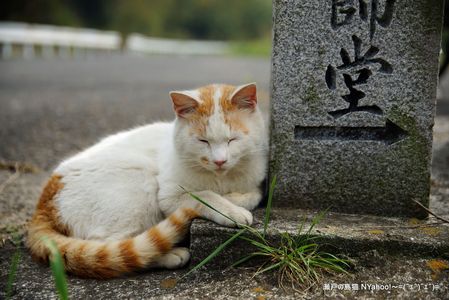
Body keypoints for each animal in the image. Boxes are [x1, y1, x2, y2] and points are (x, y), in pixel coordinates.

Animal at [26, 82, 268, 278]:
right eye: (203, 141)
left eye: (232, 139)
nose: (219, 161)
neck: (221, 178)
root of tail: (44, 199)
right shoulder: (170, 197)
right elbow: (206, 196)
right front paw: (231, 210)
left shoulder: (256, 182)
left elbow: (254, 195)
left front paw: (234, 199)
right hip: (141, 178)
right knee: (112, 248)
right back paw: (170, 255)